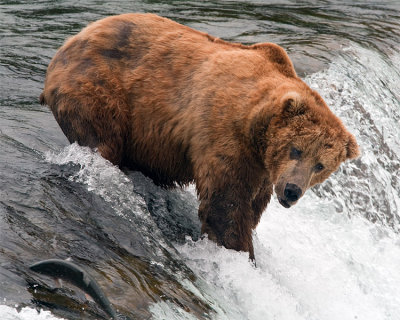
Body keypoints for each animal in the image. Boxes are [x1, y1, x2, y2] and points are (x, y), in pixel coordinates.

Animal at [39, 13, 360, 262]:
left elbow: (252, 204)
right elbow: (225, 204)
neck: (256, 125)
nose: (292, 190)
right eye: (296, 149)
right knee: (103, 139)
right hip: (99, 89)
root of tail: (70, 42)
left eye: (320, 165)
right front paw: (241, 252)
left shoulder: (261, 168)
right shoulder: (225, 132)